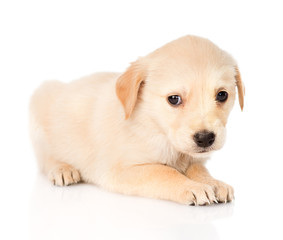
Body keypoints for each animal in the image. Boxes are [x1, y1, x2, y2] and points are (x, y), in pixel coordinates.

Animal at [30, 35, 245, 204]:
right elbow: (164, 172)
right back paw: (62, 169)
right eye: (174, 99)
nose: (205, 138)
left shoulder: (193, 158)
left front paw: (214, 183)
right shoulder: (119, 170)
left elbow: (199, 170)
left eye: (222, 95)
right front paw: (193, 187)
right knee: (45, 158)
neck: (153, 124)